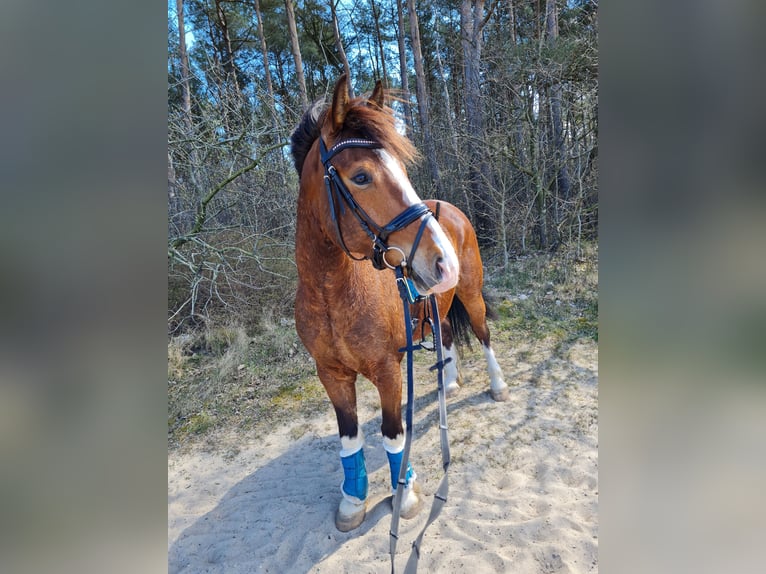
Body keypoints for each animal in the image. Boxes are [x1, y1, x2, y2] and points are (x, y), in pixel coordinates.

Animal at [292, 74, 508, 532]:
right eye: (360, 176)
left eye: (403, 170)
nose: (442, 260)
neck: (332, 293)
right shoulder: (331, 375)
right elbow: (350, 439)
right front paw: (353, 501)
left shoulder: (388, 371)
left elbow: (393, 434)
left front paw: (404, 493)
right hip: (438, 302)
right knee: (446, 333)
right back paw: (449, 382)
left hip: (470, 294)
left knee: (483, 334)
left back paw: (498, 385)